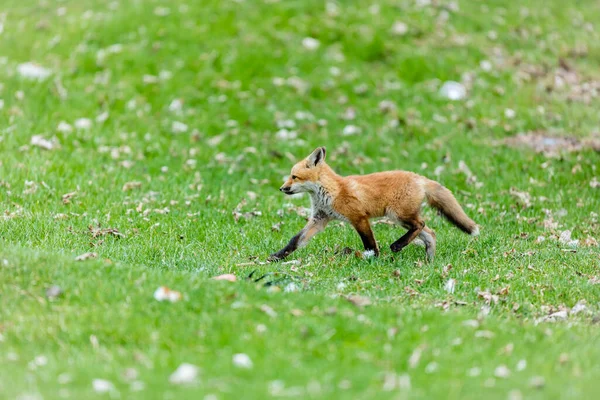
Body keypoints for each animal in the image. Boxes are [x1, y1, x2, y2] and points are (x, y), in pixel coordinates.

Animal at [270, 147, 480, 262]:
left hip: (397, 214)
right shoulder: (319, 219)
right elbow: (295, 240)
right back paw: (429, 261)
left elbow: (369, 243)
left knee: (420, 225)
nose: (281, 188)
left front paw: (373, 258)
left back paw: (397, 245)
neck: (331, 191)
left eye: (294, 177)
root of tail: (419, 178)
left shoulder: (359, 217)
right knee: (430, 233)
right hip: (401, 218)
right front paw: (277, 257)